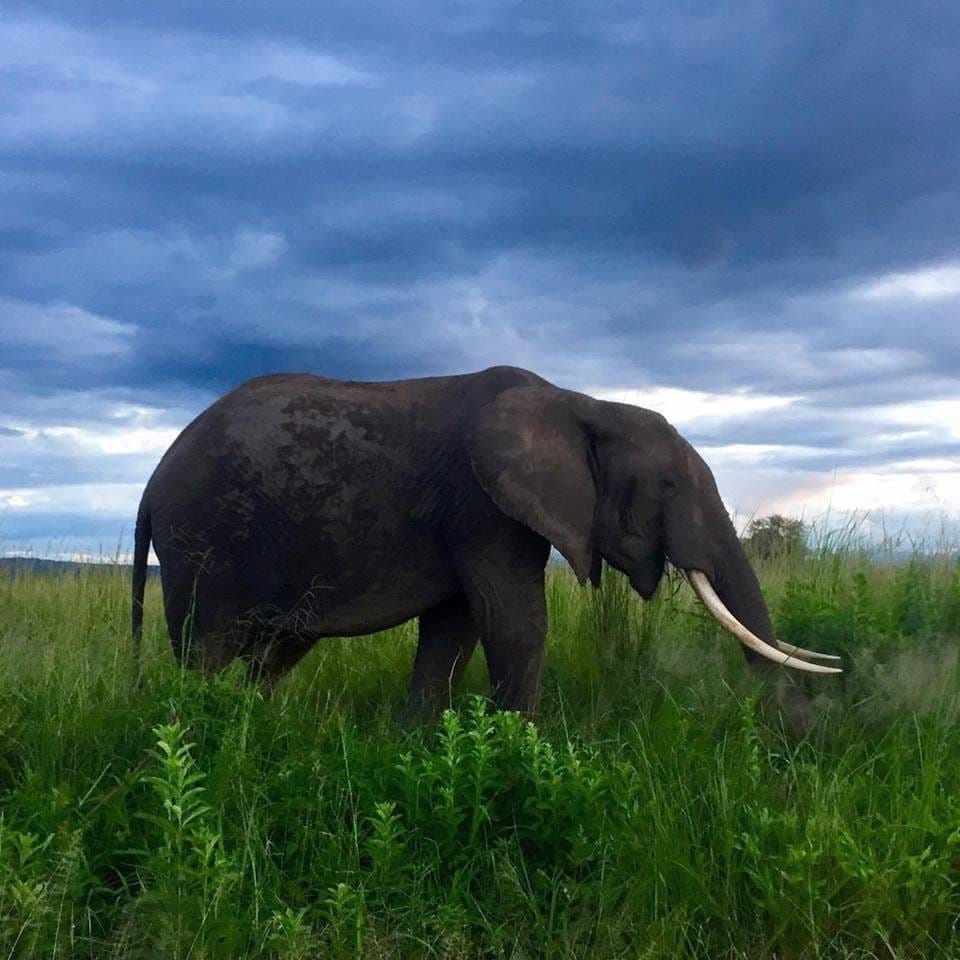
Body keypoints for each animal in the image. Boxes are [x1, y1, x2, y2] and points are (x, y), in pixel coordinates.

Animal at [131, 365, 839, 726]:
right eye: (666, 485)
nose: (796, 733)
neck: (581, 403)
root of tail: (149, 485)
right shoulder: (484, 507)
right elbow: (513, 622)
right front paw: (520, 749)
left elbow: (457, 628)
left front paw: (416, 744)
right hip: (205, 540)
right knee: (207, 648)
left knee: (274, 652)